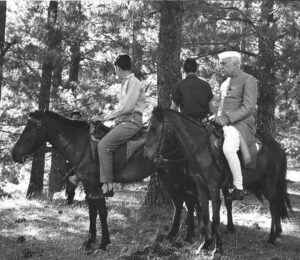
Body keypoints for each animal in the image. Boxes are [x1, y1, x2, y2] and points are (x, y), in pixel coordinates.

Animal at [11, 109, 202, 250]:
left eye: (30, 127)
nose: (14, 154)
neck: (81, 145)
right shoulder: (89, 186)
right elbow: (93, 212)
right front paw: (90, 241)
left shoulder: (94, 185)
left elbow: (101, 212)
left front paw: (103, 243)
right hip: (166, 175)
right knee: (179, 202)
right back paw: (172, 235)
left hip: (175, 173)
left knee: (189, 200)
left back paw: (187, 236)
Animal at [144, 106, 292, 256]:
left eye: (153, 128)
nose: (147, 155)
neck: (201, 148)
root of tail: (279, 147)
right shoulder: (200, 187)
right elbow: (205, 214)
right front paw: (205, 244)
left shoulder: (213, 187)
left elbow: (215, 218)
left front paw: (218, 247)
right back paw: (275, 234)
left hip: (269, 184)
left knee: (273, 206)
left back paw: (272, 237)